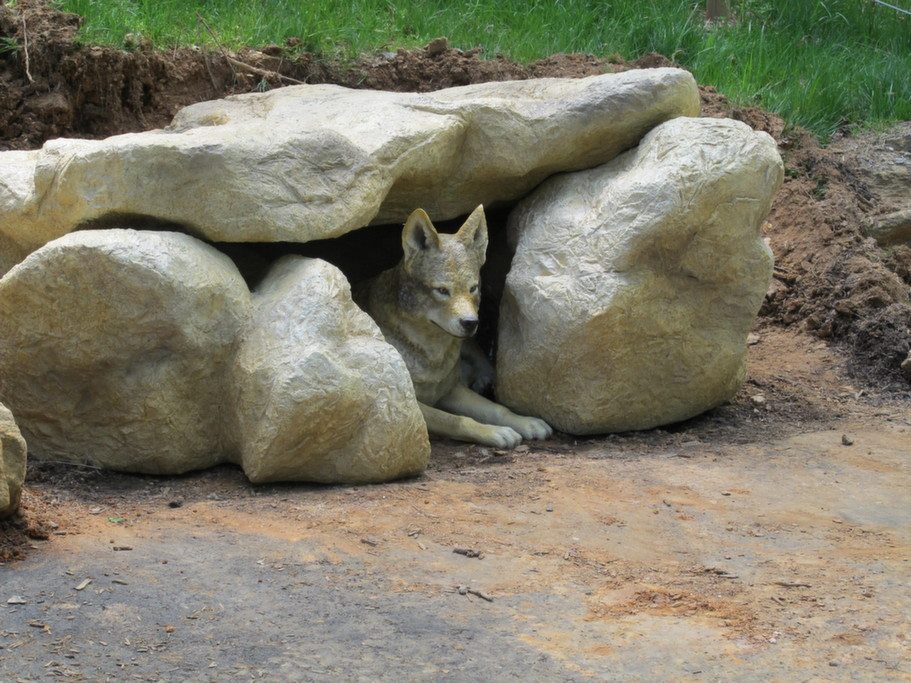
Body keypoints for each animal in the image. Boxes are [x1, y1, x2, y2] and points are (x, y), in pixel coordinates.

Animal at [357, 205, 552, 449]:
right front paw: (496, 432)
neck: (432, 354)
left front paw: (525, 422)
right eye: (442, 291)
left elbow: (498, 409)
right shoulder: (413, 406)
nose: (470, 323)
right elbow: (459, 421)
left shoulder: (450, 391)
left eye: (473, 288)